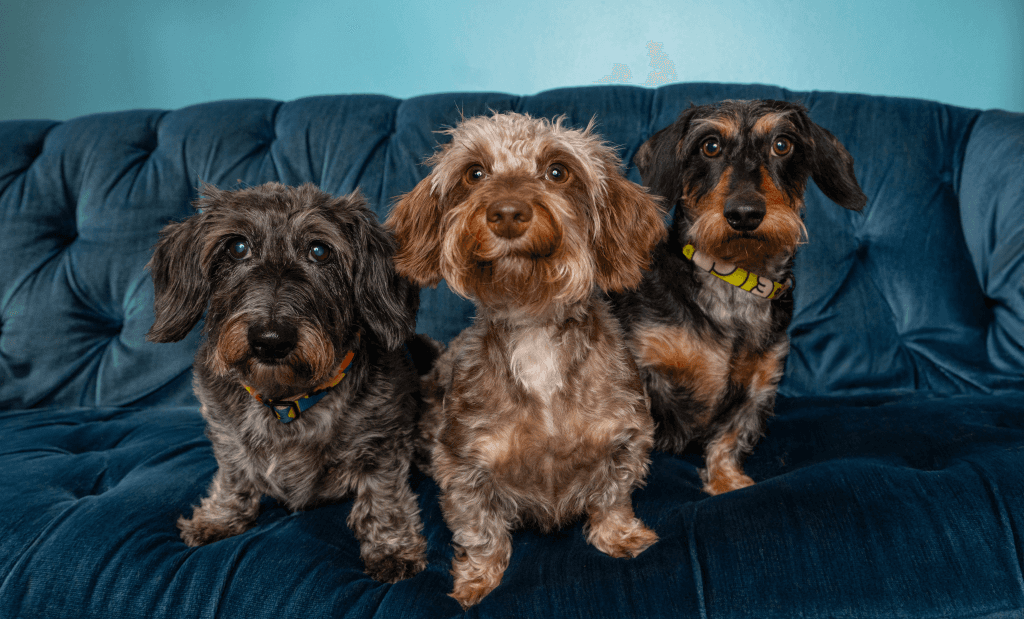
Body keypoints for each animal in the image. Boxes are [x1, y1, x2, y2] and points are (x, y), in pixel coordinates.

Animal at [148, 181, 428, 582]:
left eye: (319, 251)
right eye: (237, 247)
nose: (270, 340)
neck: (287, 399)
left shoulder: (383, 442)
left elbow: (383, 495)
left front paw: (391, 547)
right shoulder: (225, 433)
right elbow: (234, 473)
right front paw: (220, 516)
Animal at [610, 101, 868, 496]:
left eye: (782, 144)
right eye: (710, 146)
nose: (744, 214)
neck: (734, 282)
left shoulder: (759, 385)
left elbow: (731, 437)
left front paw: (727, 481)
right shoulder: (639, 365)